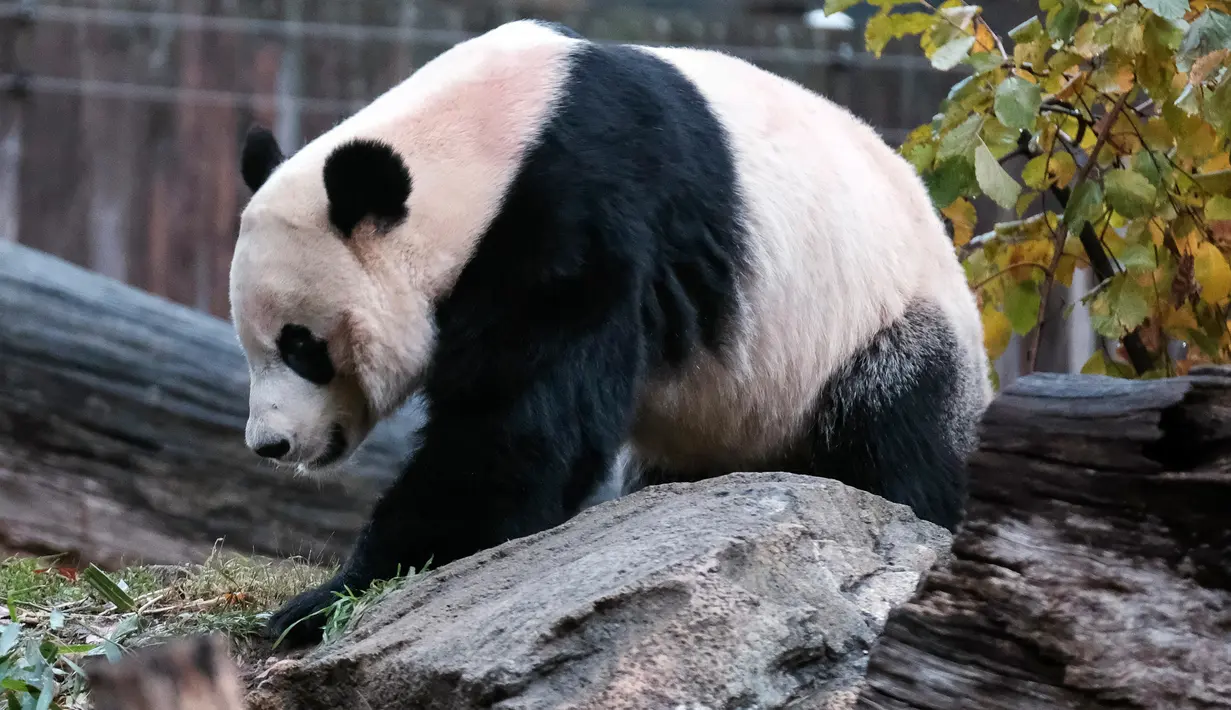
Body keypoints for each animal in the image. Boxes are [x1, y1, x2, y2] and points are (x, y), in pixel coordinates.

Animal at [229, 19, 992, 648]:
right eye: (255, 345)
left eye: (302, 346)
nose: (271, 445)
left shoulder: (582, 204)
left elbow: (523, 426)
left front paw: (321, 604)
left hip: (874, 326)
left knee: (896, 431)